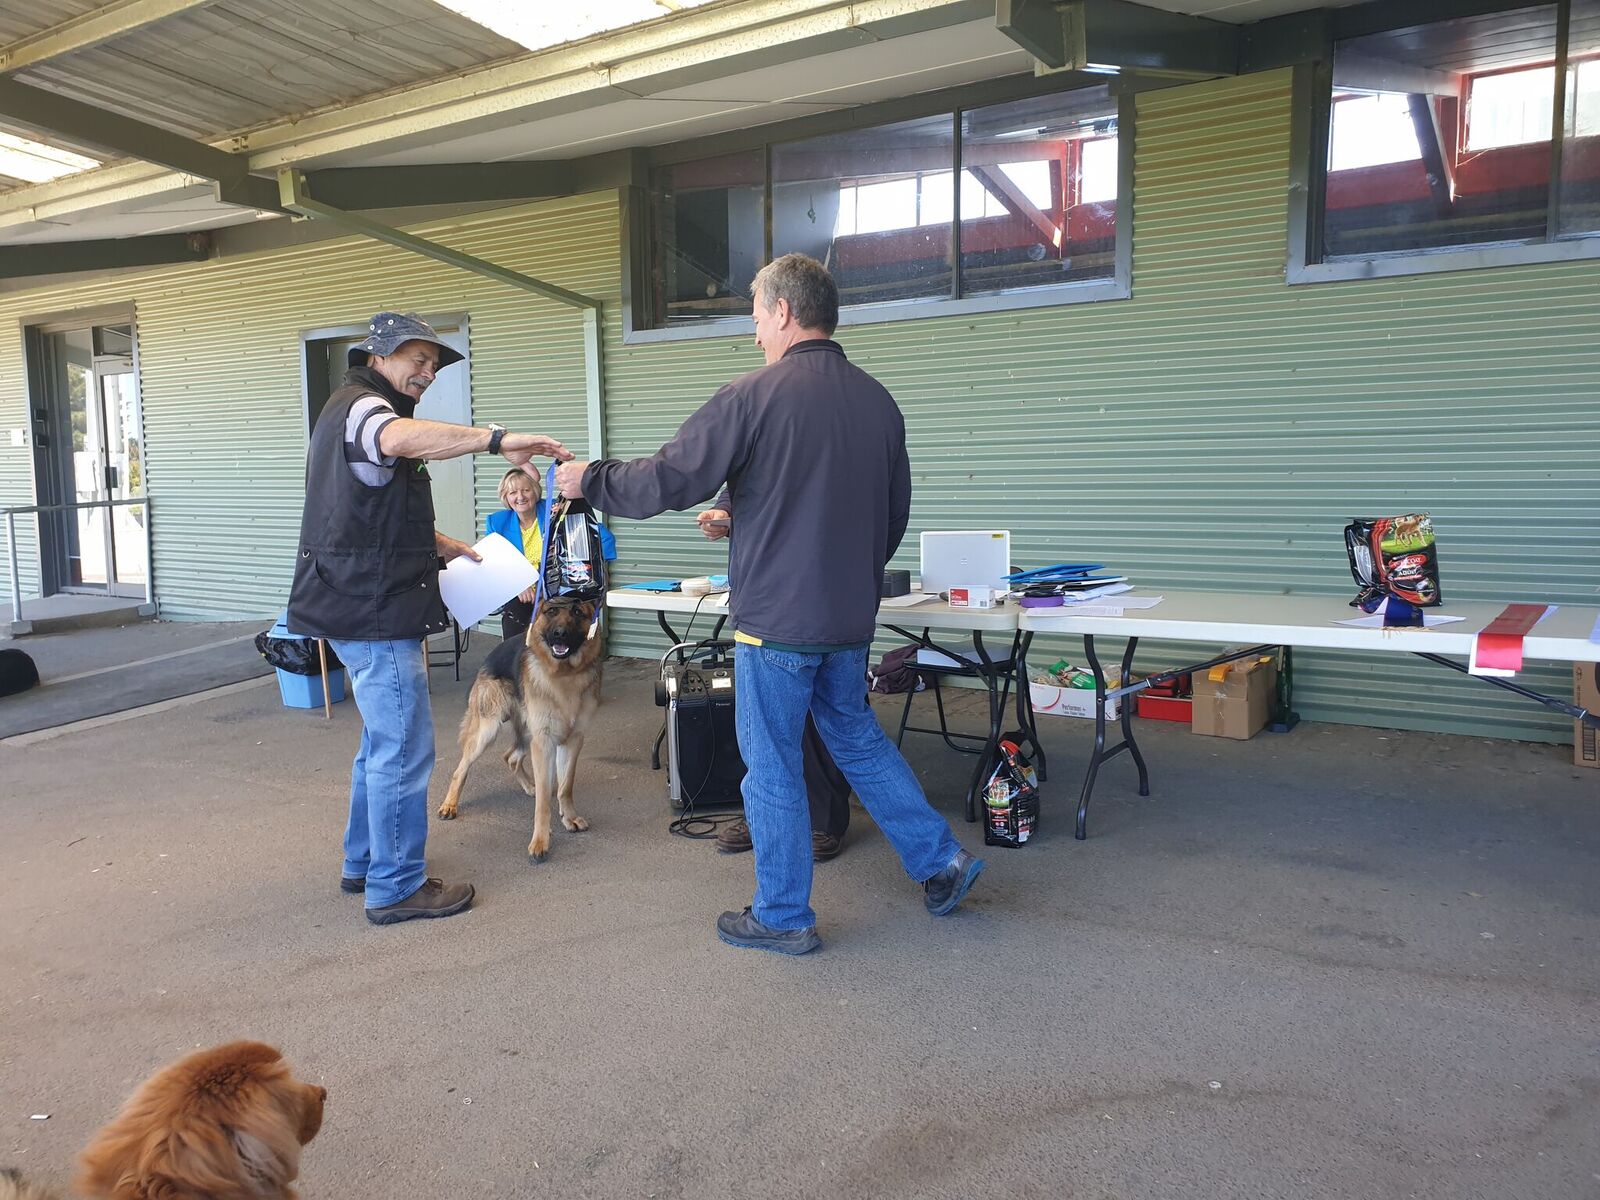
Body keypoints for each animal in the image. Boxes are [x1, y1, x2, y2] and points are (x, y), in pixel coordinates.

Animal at [438, 595, 603, 862]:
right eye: (551, 611)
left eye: (578, 612)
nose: (560, 634)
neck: (565, 675)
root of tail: (491, 656)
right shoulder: (544, 742)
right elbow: (544, 802)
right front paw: (540, 842)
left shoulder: (573, 739)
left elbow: (565, 786)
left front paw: (568, 817)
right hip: (488, 731)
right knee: (461, 767)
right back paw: (449, 805)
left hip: (527, 735)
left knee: (511, 756)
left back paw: (529, 786)